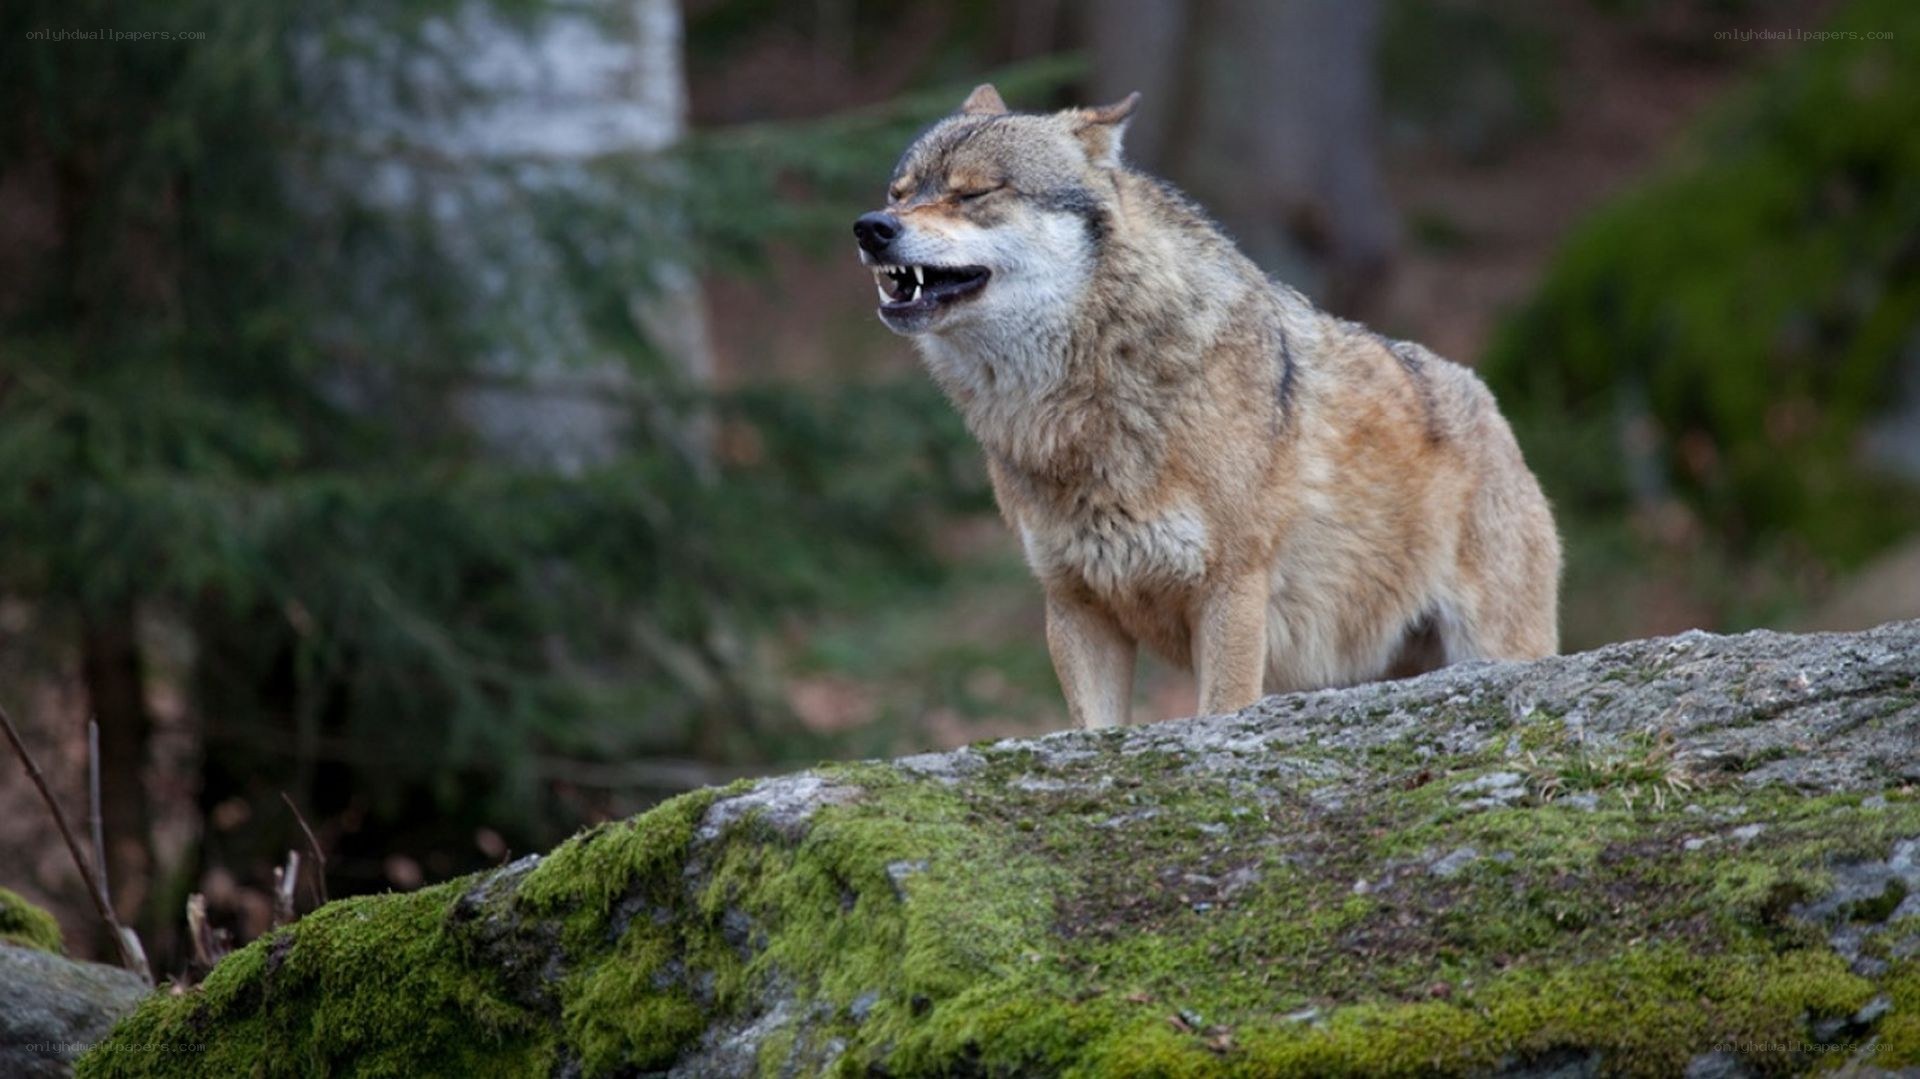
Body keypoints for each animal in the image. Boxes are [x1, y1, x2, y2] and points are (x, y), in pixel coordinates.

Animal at [854, 84, 1561, 729]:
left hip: (1492, 643)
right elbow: (1095, 728)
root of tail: (1487, 400)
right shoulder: (1075, 605)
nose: (871, 228)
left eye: (973, 193)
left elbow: (1221, 710)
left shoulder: (1232, 590)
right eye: (899, 192)